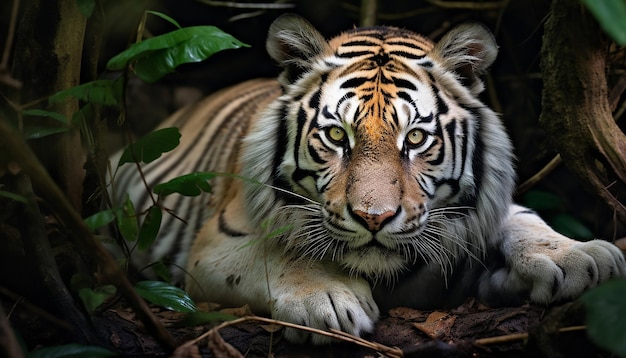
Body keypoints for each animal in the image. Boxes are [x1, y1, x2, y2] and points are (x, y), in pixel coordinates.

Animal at [112, 14, 624, 344]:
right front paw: (328, 299)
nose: (373, 218)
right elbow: (275, 253)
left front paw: (580, 256)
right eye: (338, 135)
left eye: (415, 138)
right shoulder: (213, 247)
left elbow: (520, 219)